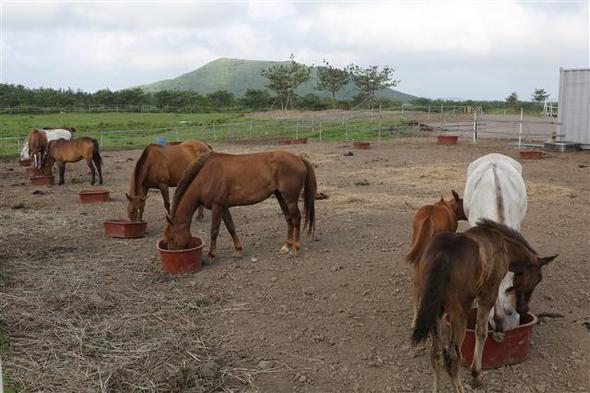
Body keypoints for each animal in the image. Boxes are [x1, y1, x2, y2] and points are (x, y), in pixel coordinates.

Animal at [162, 152, 320, 258]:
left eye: (171, 237)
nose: (173, 254)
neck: (207, 177)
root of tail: (299, 158)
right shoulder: (223, 207)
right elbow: (231, 227)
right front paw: (238, 249)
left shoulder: (217, 207)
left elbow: (214, 231)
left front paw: (212, 254)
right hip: (280, 196)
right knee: (288, 218)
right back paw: (287, 246)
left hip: (290, 199)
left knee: (296, 219)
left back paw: (296, 248)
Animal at [414, 219, 556, 390]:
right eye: (538, 278)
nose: (523, 308)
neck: (504, 246)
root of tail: (443, 255)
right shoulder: (488, 292)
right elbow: (481, 331)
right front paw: (476, 375)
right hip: (458, 313)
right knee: (453, 358)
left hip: (435, 311)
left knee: (435, 354)